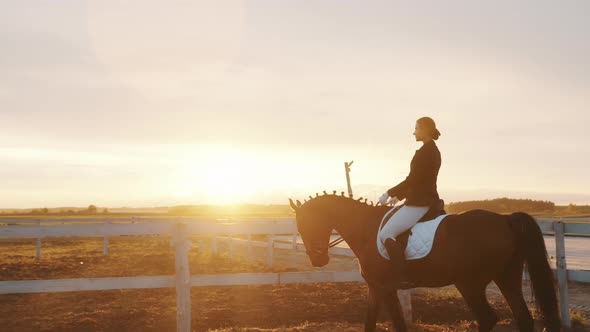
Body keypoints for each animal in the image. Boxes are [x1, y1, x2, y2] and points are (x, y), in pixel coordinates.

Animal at [290, 193, 560, 330]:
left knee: (488, 318)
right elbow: (369, 322)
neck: (367, 228)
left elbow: (398, 324)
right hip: (507, 278)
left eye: (310, 223)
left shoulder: (387, 288)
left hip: (470, 284)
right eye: (299, 225)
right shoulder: (375, 287)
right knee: (523, 318)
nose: (318, 259)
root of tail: (504, 219)